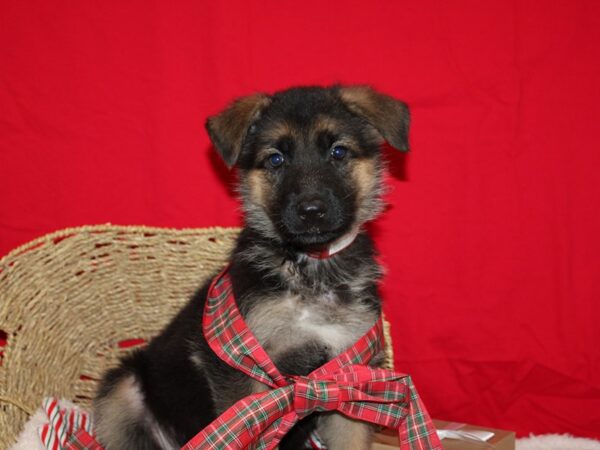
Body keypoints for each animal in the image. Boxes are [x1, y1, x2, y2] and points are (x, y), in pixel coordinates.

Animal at [94, 85, 410, 450]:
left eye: (339, 152)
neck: (310, 270)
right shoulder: (242, 374)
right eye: (275, 159)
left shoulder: (345, 381)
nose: (311, 211)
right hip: (122, 389)